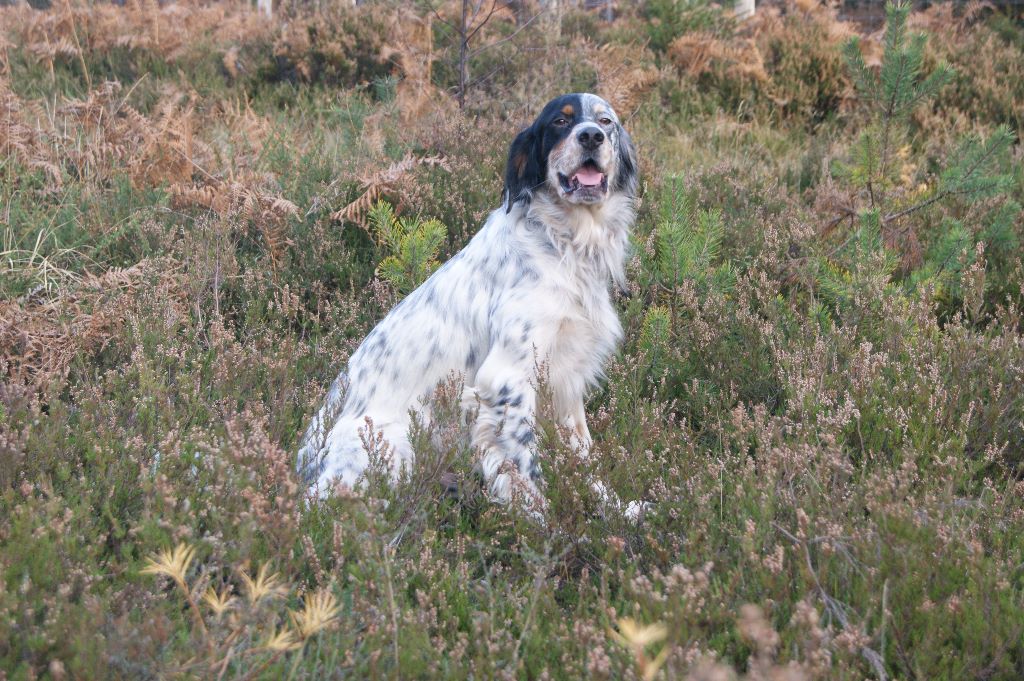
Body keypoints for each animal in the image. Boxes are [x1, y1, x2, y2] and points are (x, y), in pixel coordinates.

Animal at [296, 91, 634, 516]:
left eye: (606, 121)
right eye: (560, 121)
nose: (590, 137)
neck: (563, 243)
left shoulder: (566, 381)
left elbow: (584, 455)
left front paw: (616, 508)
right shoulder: (509, 377)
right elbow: (523, 463)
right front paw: (540, 520)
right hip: (389, 442)